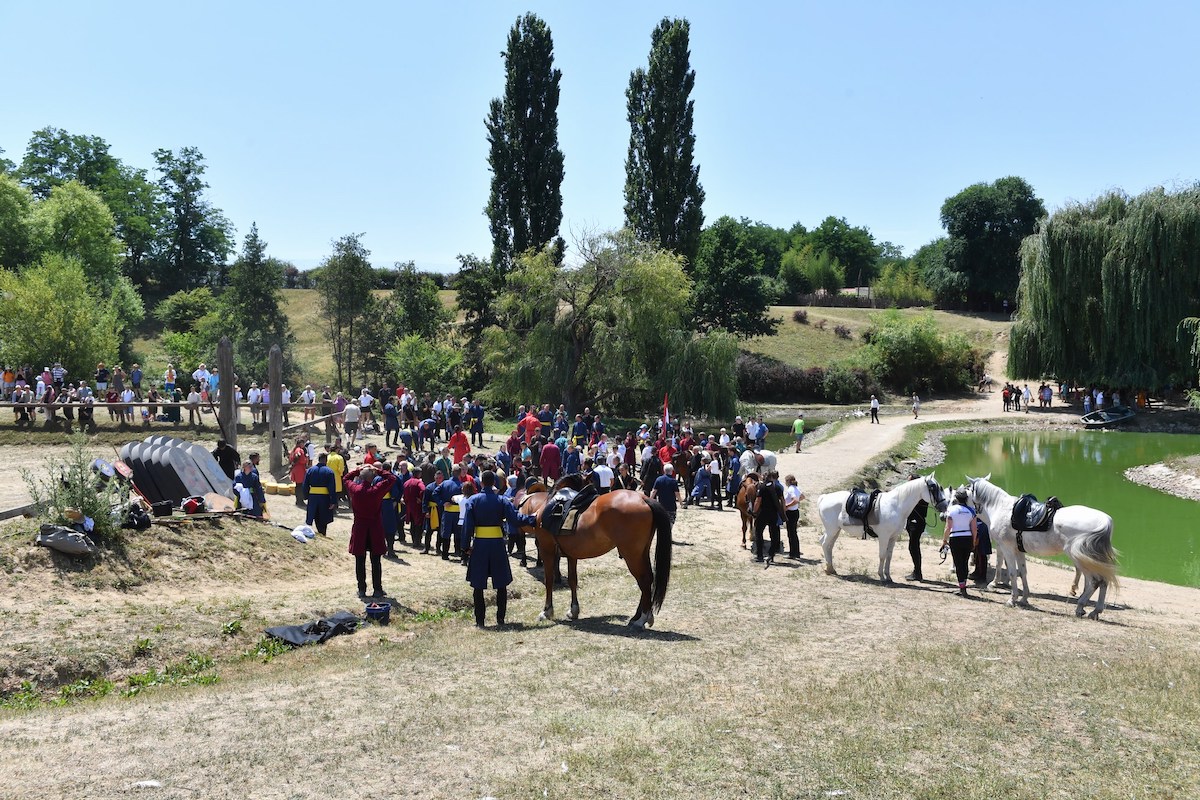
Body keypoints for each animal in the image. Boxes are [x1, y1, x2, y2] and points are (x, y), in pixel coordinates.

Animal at [519, 474, 673, 628]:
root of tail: (643, 499)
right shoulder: (571, 555)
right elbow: (572, 580)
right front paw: (573, 610)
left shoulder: (547, 550)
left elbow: (549, 580)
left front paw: (547, 611)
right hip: (642, 552)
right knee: (648, 579)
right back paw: (638, 617)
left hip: (632, 555)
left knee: (644, 580)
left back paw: (642, 619)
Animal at [817, 474, 948, 583]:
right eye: (933, 487)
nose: (944, 506)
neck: (895, 506)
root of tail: (824, 497)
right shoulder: (884, 537)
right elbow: (882, 556)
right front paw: (881, 576)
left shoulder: (893, 537)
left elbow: (889, 556)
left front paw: (888, 576)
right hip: (831, 530)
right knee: (824, 544)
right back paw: (829, 568)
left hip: (836, 531)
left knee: (829, 546)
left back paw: (831, 569)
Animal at [965, 475, 1119, 619]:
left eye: (967, 488)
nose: (959, 495)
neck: (999, 508)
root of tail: (1105, 521)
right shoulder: (1018, 550)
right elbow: (1023, 572)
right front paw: (1024, 598)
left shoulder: (1006, 548)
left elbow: (1012, 572)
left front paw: (1012, 599)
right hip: (1093, 561)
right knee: (1102, 582)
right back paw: (1093, 611)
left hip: (1081, 559)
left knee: (1094, 582)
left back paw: (1082, 606)